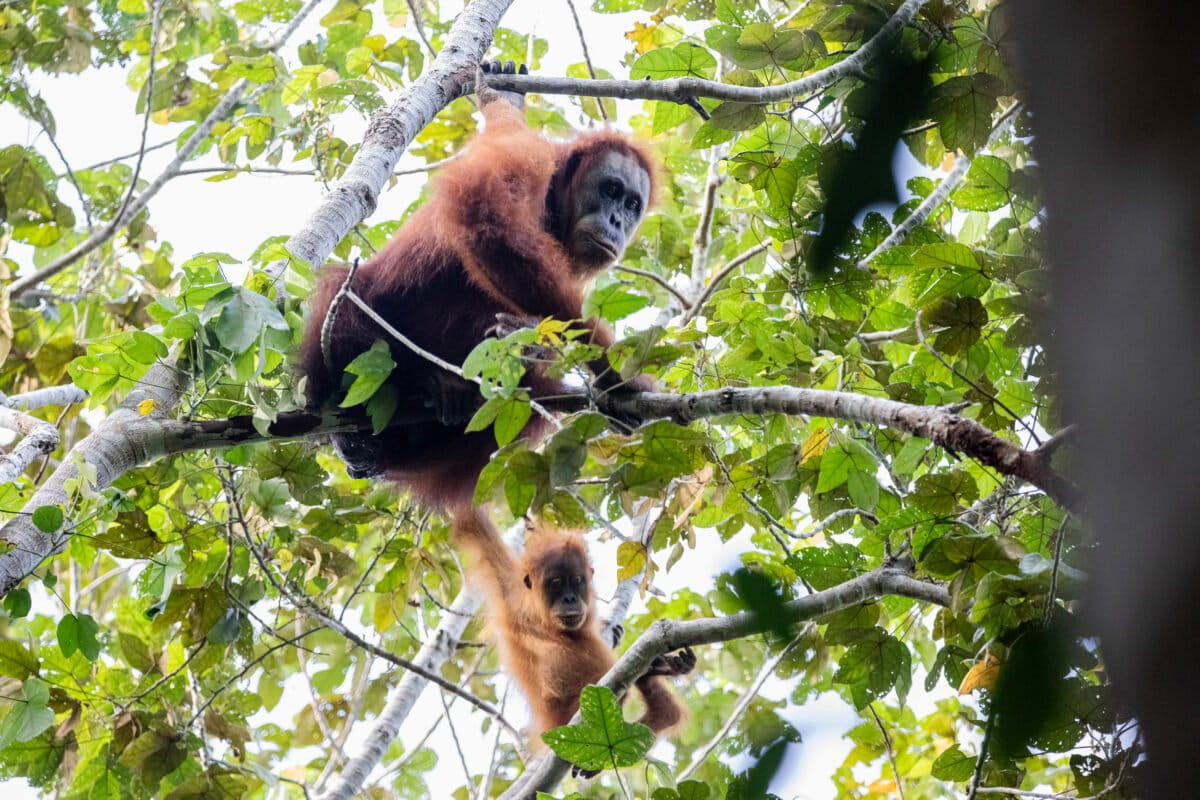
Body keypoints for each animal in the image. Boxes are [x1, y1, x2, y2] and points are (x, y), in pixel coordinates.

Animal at [297, 61, 658, 509]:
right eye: (610, 189)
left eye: (632, 205)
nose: (617, 222)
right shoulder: (530, 158)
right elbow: (485, 214)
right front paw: (616, 376)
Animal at [452, 509, 696, 752]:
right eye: (556, 583)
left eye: (576, 580)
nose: (569, 598)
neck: (545, 622)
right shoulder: (509, 591)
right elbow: (474, 526)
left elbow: (471, 522)